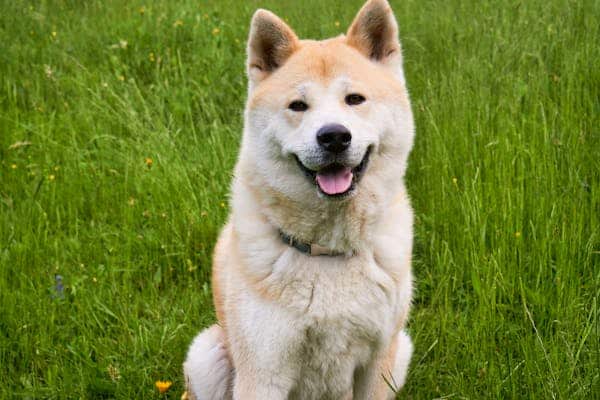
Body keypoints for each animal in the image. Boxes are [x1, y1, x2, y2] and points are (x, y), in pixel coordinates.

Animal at [183, 0, 414, 396]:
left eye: (355, 99)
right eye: (298, 105)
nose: (334, 136)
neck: (328, 252)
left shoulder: (377, 363)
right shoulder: (263, 373)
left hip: (401, 350)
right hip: (206, 354)